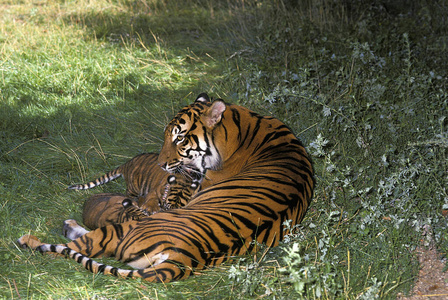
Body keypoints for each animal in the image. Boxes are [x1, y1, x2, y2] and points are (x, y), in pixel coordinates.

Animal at [67, 154, 202, 214]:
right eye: (168, 206)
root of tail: (127, 163)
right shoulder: (154, 190)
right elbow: (151, 199)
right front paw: (150, 208)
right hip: (134, 187)